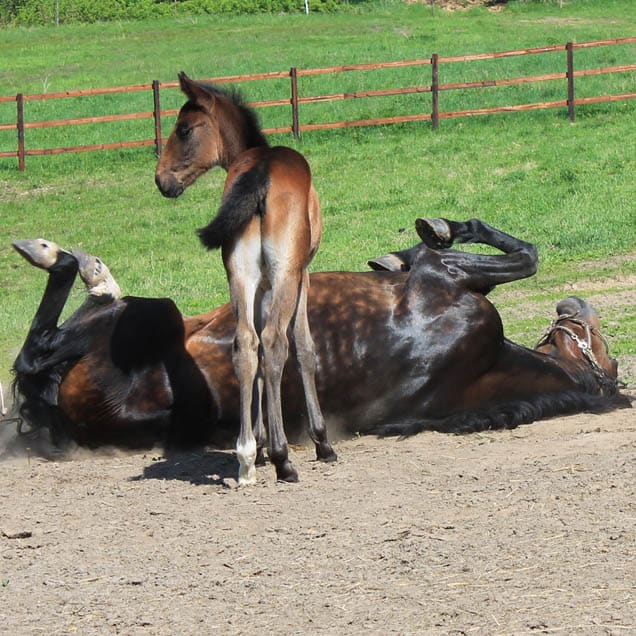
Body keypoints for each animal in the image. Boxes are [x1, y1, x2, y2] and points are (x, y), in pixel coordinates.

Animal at [156, 73, 336, 482]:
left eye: (184, 129)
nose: (161, 180)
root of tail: (261, 173)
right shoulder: (301, 274)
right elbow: (303, 347)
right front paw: (319, 441)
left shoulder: (259, 285)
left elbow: (254, 355)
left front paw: (259, 442)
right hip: (285, 275)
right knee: (273, 343)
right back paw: (284, 459)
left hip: (239, 275)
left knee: (245, 345)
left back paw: (246, 456)